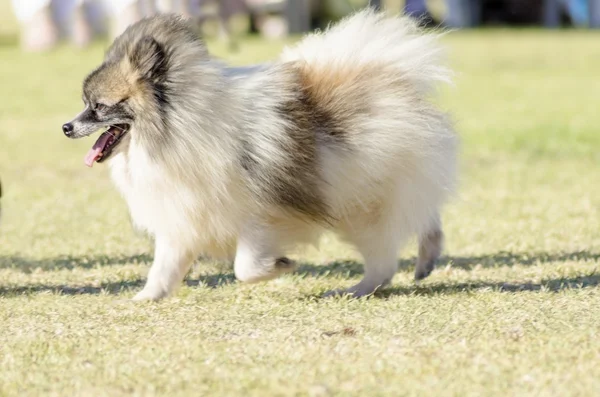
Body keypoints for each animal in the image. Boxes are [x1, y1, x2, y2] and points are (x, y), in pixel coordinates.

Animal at [63, 9, 458, 300]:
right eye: (85, 104)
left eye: (98, 107)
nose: (66, 127)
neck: (175, 130)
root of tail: (390, 78)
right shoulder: (183, 216)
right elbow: (164, 267)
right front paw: (145, 297)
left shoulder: (260, 218)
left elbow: (245, 267)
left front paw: (282, 265)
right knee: (406, 240)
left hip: (366, 203)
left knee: (396, 246)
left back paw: (371, 282)